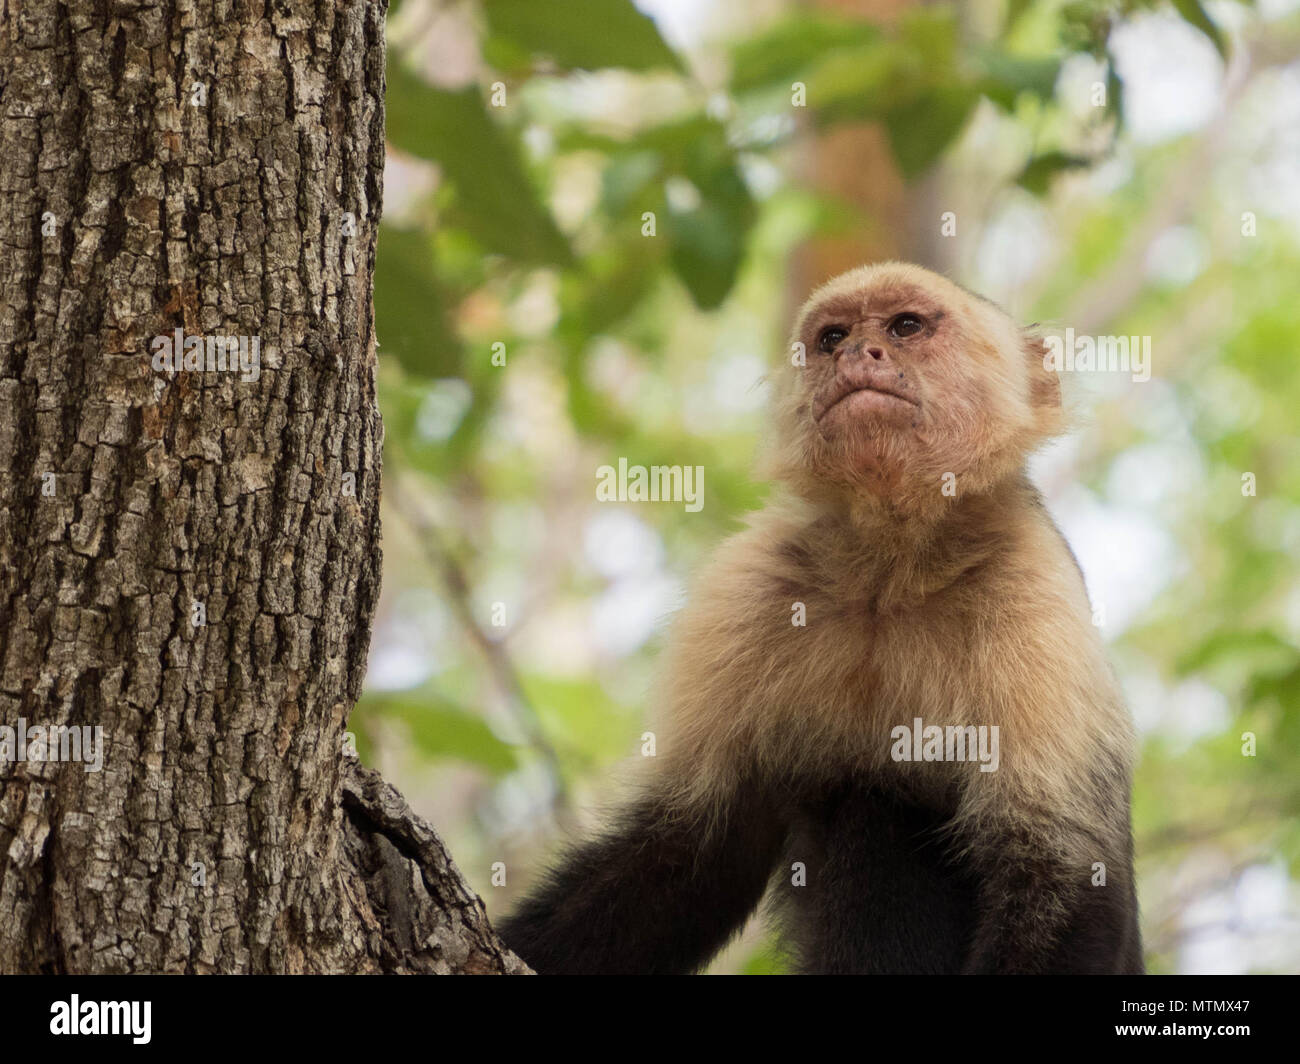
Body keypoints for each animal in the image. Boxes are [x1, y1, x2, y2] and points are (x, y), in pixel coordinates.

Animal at [501, 262, 1144, 967]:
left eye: (905, 327)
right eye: (832, 336)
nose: (857, 353)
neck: (892, 569)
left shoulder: (1032, 584)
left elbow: (1061, 869)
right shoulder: (750, 582)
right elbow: (693, 846)